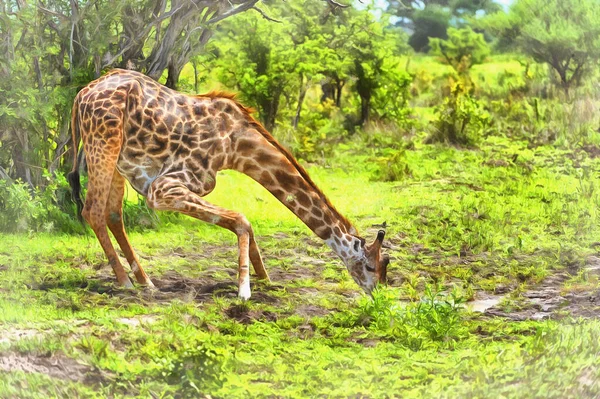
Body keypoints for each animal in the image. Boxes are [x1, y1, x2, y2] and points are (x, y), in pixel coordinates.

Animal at [68, 69, 390, 300]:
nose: (379, 294)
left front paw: (264, 279)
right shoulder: (164, 188)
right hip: (103, 143)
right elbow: (242, 219)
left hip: (118, 160)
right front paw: (245, 288)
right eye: (371, 265)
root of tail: (81, 94)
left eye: (385, 265)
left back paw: (146, 282)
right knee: (92, 210)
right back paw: (125, 283)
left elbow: (244, 223)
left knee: (113, 214)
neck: (234, 147)